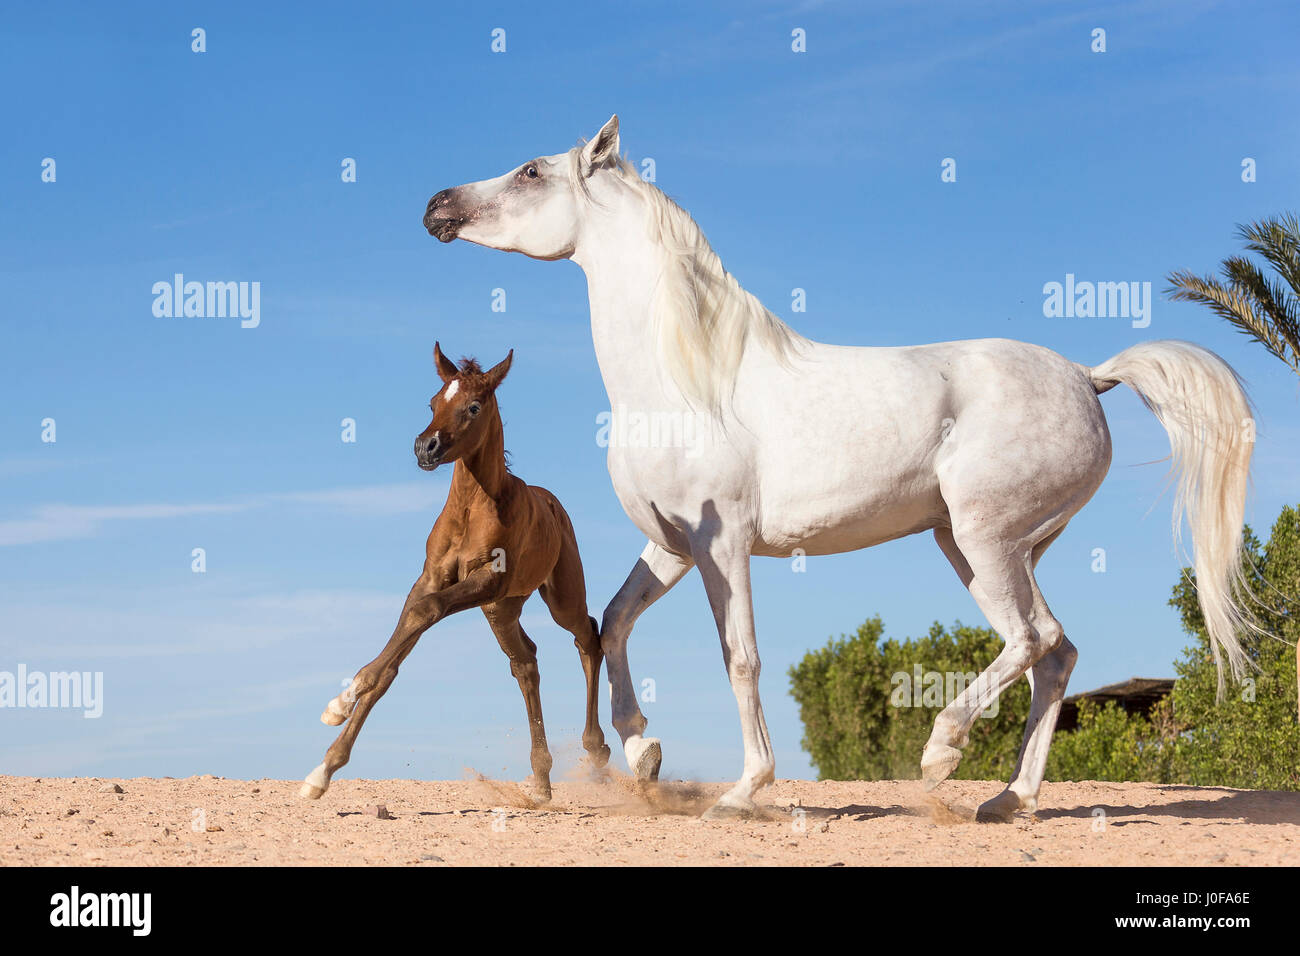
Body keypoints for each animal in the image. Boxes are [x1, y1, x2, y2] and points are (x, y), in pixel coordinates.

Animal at [299, 343, 610, 803]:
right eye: (433, 402)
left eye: (474, 406)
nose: (424, 448)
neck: (471, 508)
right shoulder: (432, 578)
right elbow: (393, 663)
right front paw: (324, 763)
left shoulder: (485, 580)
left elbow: (425, 612)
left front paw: (340, 704)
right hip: (502, 609)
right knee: (526, 663)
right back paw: (540, 780)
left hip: (557, 596)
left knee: (587, 636)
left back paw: (596, 749)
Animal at [422, 116, 1259, 821]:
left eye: (532, 171)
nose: (436, 206)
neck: (687, 381)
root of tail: (1090, 377)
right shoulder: (671, 546)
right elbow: (614, 623)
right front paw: (644, 751)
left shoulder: (723, 547)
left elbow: (741, 658)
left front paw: (743, 791)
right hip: (986, 548)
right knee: (1056, 652)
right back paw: (1007, 800)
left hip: (986, 538)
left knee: (1031, 640)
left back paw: (941, 756)